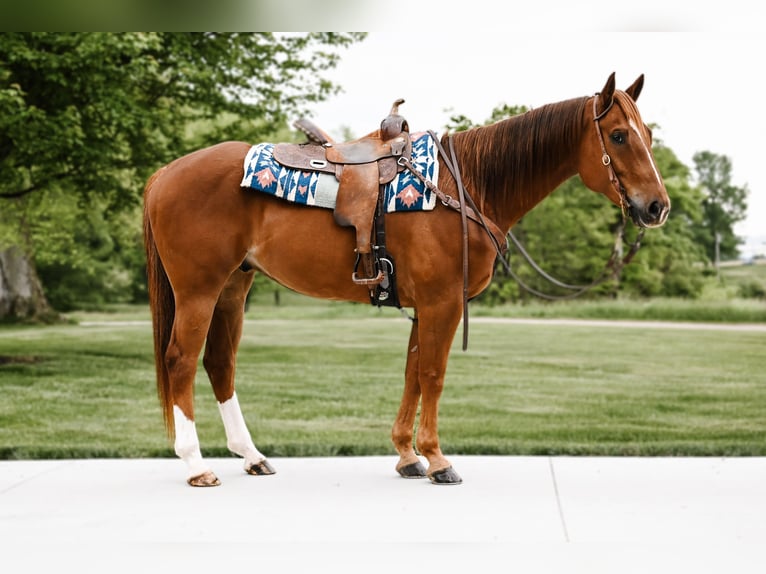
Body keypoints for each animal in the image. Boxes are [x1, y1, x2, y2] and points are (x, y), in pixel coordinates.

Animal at [144, 70, 672, 488]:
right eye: (619, 136)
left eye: (646, 132)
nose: (657, 207)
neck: (466, 185)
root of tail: (165, 173)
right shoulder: (443, 303)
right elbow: (433, 376)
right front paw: (438, 460)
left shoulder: (425, 306)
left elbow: (412, 373)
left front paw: (406, 455)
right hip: (199, 290)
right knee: (180, 361)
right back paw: (196, 465)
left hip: (234, 287)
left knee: (219, 363)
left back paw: (251, 456)